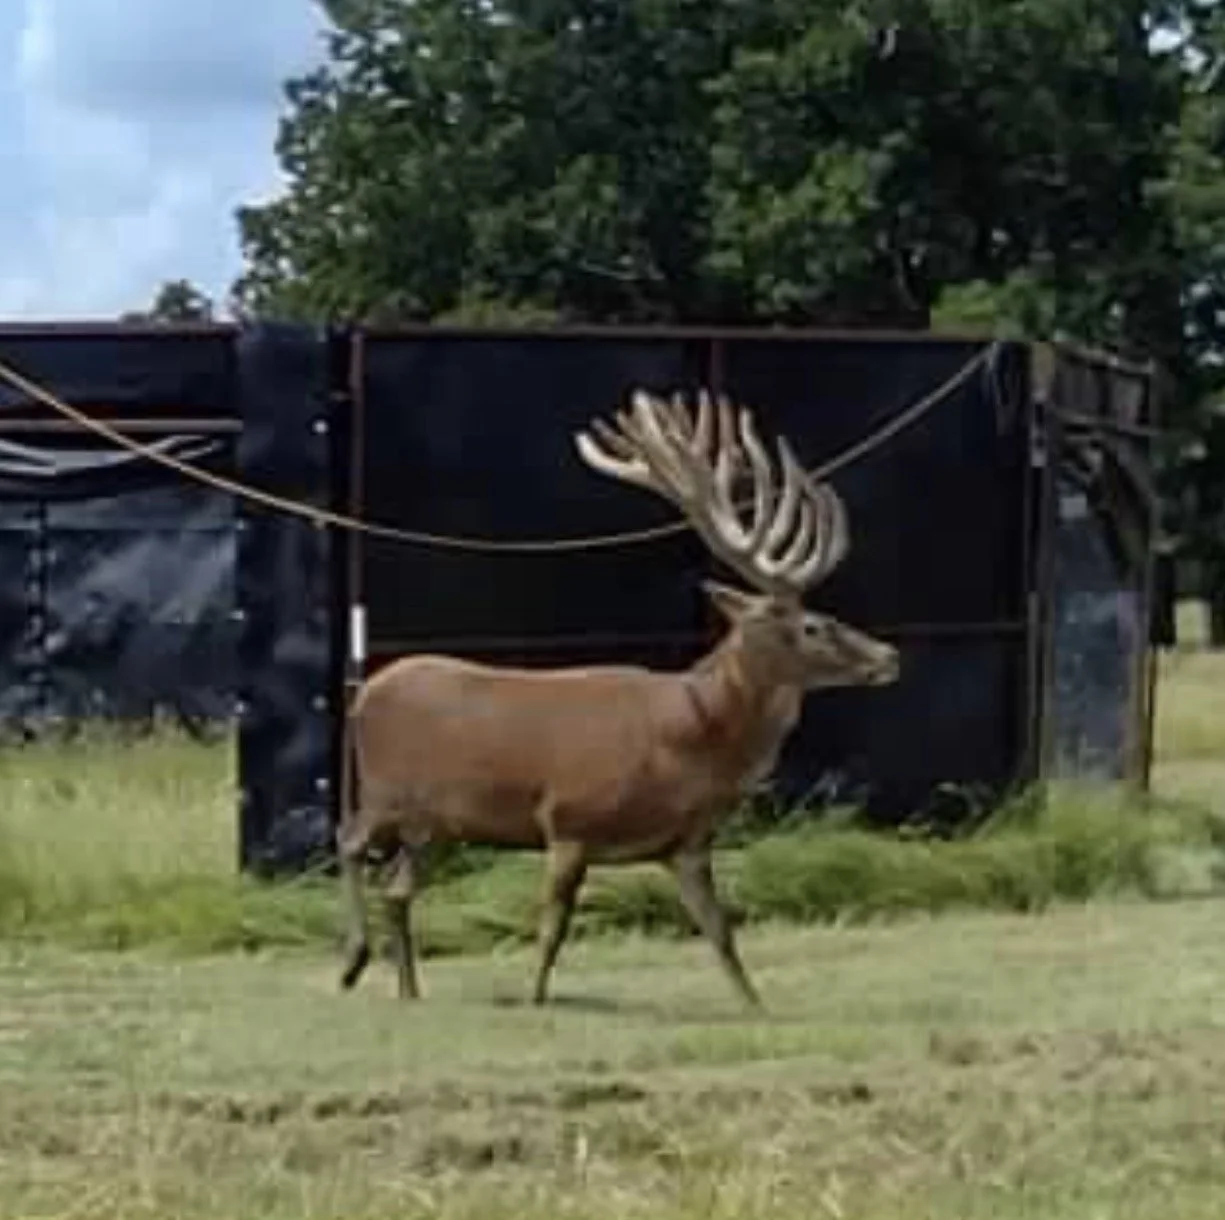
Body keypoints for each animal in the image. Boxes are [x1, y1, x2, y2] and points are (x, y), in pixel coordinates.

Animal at [335, 387, 900, 1011]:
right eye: (813, 626)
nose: (889, 654)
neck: (689, 738)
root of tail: (363, 695)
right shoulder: (569, 818)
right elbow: (553, 927)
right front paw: (536, 1000)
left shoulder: (687, 843)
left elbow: (720, 930)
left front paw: (755, 1006)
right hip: (383, 790)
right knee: (348, 842)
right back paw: (353, 963)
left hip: (438, 823)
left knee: (397, 888)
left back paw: (409, 990)